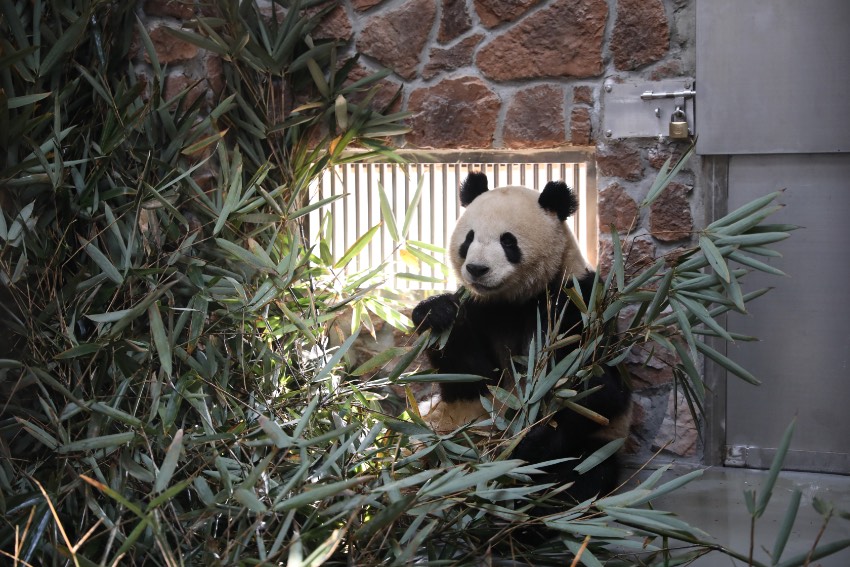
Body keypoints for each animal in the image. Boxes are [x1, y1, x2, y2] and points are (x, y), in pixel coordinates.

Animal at [410, 172, 628, 502]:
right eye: (469, 238)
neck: (512, 299)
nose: (476, 269)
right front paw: (437, 311)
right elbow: (472, 376)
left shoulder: (576, 303)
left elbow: (599, 388)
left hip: (599, 445)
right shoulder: (480, 308)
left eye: (508, 241)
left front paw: (526, 445)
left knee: (583, 474)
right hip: (440, 428)